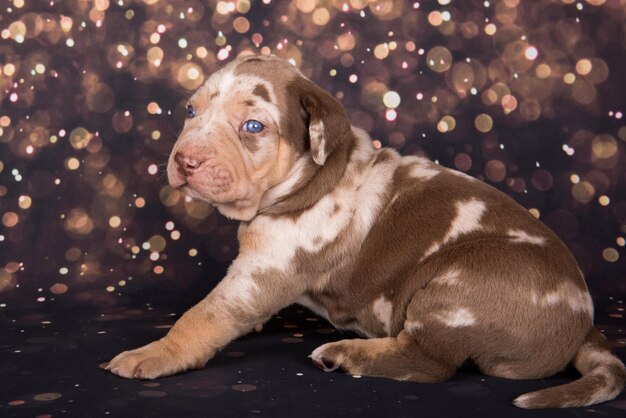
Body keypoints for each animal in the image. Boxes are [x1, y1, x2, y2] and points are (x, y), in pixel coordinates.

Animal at [105, 54, 620, 408]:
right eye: (190, 112)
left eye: (252, 127)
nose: (185, 160)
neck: (310, 180)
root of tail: (584, 323)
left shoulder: (263, 271)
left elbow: (203, 316)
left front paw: (154, 353)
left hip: (453, 286)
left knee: (429, 364)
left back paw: (346, 354)